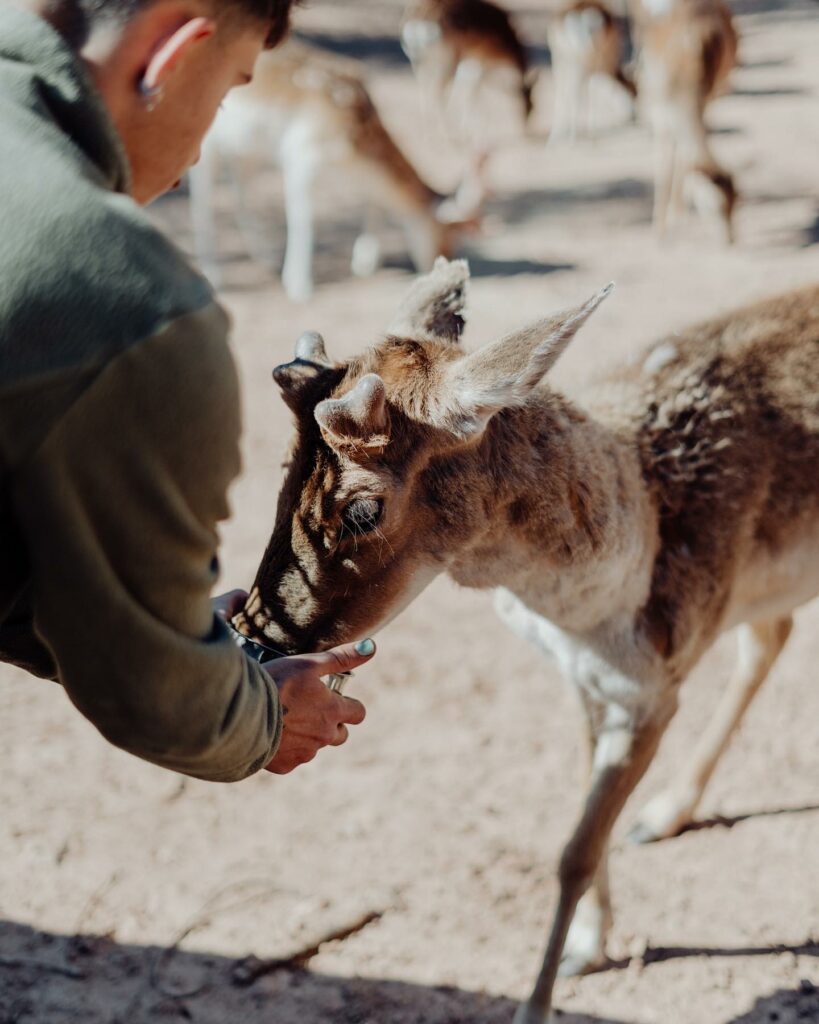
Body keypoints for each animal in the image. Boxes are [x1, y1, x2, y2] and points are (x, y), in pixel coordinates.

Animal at [189, 41, 477, 301]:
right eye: (447, 238)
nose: (447, 281)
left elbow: (371, 197)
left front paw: (364, 262)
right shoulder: (301, 154)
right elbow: (304, 218)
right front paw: (299, 286)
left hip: (245, 148)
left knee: (239, 185)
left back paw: (266, 255)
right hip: (204, 146)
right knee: (202, 201)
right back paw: (214, 275)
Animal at [228, 258, 818, 1024]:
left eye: (361, 509)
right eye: (282, 467)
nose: (253, 638)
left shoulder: (655, 689)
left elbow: (574, 851)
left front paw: (546, 990)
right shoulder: (582, 677)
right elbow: (585, 825)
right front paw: (589, 947)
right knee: (772, 632)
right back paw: (663, 814)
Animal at [401, 0, 536, 210]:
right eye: (533, 105)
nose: (526, 129)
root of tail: (418, 20)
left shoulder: (471, 63)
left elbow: (467, 93)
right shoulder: (475, 61)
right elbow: (468, 94)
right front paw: (472, 130)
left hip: (421, 61)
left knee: (426, 89)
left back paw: (432, 134)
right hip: (445, 60)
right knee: (437, 93)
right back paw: (446, 135)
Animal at [548, 0, 634, 144]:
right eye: (635, 92)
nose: (633, 114)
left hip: (572, 60)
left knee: (568, 91)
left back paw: (561, 137)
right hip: (582, 60)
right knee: (578, 91)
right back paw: (574, 137)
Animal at [634, 0, 737, 243]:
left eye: (737, 201)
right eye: (711, 206)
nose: (730, 240)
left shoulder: (705, 100)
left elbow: (684, 156)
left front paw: (676, 216)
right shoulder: (658, 106)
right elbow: (663, 161)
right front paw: (659, 230)